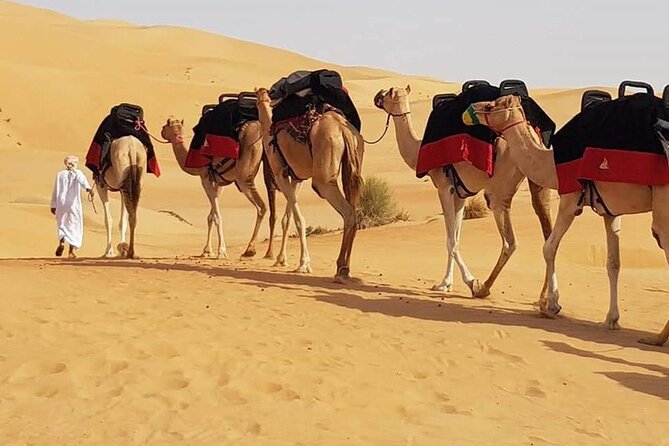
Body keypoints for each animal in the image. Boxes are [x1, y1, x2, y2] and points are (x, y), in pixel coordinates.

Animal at [160, 118, 277, 259]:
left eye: (165, 126)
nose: (161, 132)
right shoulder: (218, 183)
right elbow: (211, 216)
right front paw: (207, 250)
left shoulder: (205, 178)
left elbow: (217, 216)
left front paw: (221, 251)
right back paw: (270, 253)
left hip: (244, 178)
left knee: (261, 207)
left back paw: (250, 249)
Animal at [254, 87, 364, 280]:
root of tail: (343, 129)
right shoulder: (296, 177)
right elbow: (287, 218)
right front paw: (281, 259)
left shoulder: (280, 173)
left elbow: (299, 219)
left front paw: (303, 264)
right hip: (354, 164)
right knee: (354, 209)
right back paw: (345, 267)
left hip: (324, 179)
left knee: (349, 213)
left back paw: (341, 267)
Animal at [373, 86, 553, 297]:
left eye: (388, 93)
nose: (377, 95)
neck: (418, 150)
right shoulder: (460, 195)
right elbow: (456, 238)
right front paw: (446, 283)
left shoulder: (444, 188)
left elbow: (450, 240)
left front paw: (470, 281)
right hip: (538, 180)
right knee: (547, 229)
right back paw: (544, 299)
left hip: (499, 189)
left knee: (510, 241)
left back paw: (483, 288)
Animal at [464, 94, 669, 346]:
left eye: (491, 105)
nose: (468, 109)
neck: (551, 164)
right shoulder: (610, 211)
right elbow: (613, 263)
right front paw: (610, 320)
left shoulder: (570, 199)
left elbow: (548, 248)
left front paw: (550, 306)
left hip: (663, 202)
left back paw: (657, 338)